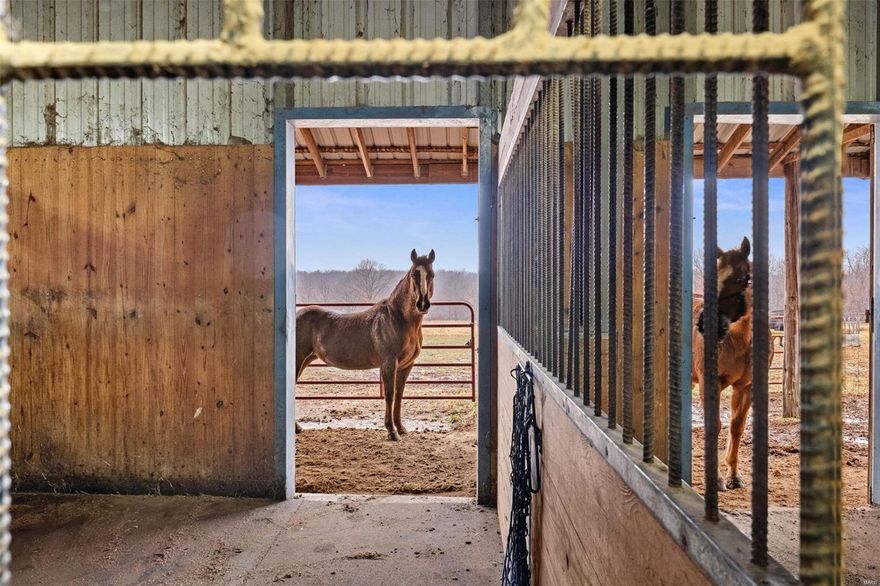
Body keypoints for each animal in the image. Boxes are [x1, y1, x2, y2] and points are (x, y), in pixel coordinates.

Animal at [294, 249, 436, 440]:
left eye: (431, 275)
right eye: (414, 274)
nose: (422, 304)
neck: (398, 319)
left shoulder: (406, 365)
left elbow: (399, 395)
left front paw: (401, 429)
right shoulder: (389, 364)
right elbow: (390, 395)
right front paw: (392, 432)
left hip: (305, 360)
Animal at [692, 237, 772, 490]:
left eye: (739, 278)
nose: (705, 324)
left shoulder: (746, 387)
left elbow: (737, 426)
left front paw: (733, 476)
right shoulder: (710, 383)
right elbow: (713, 425)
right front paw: (716, 478)